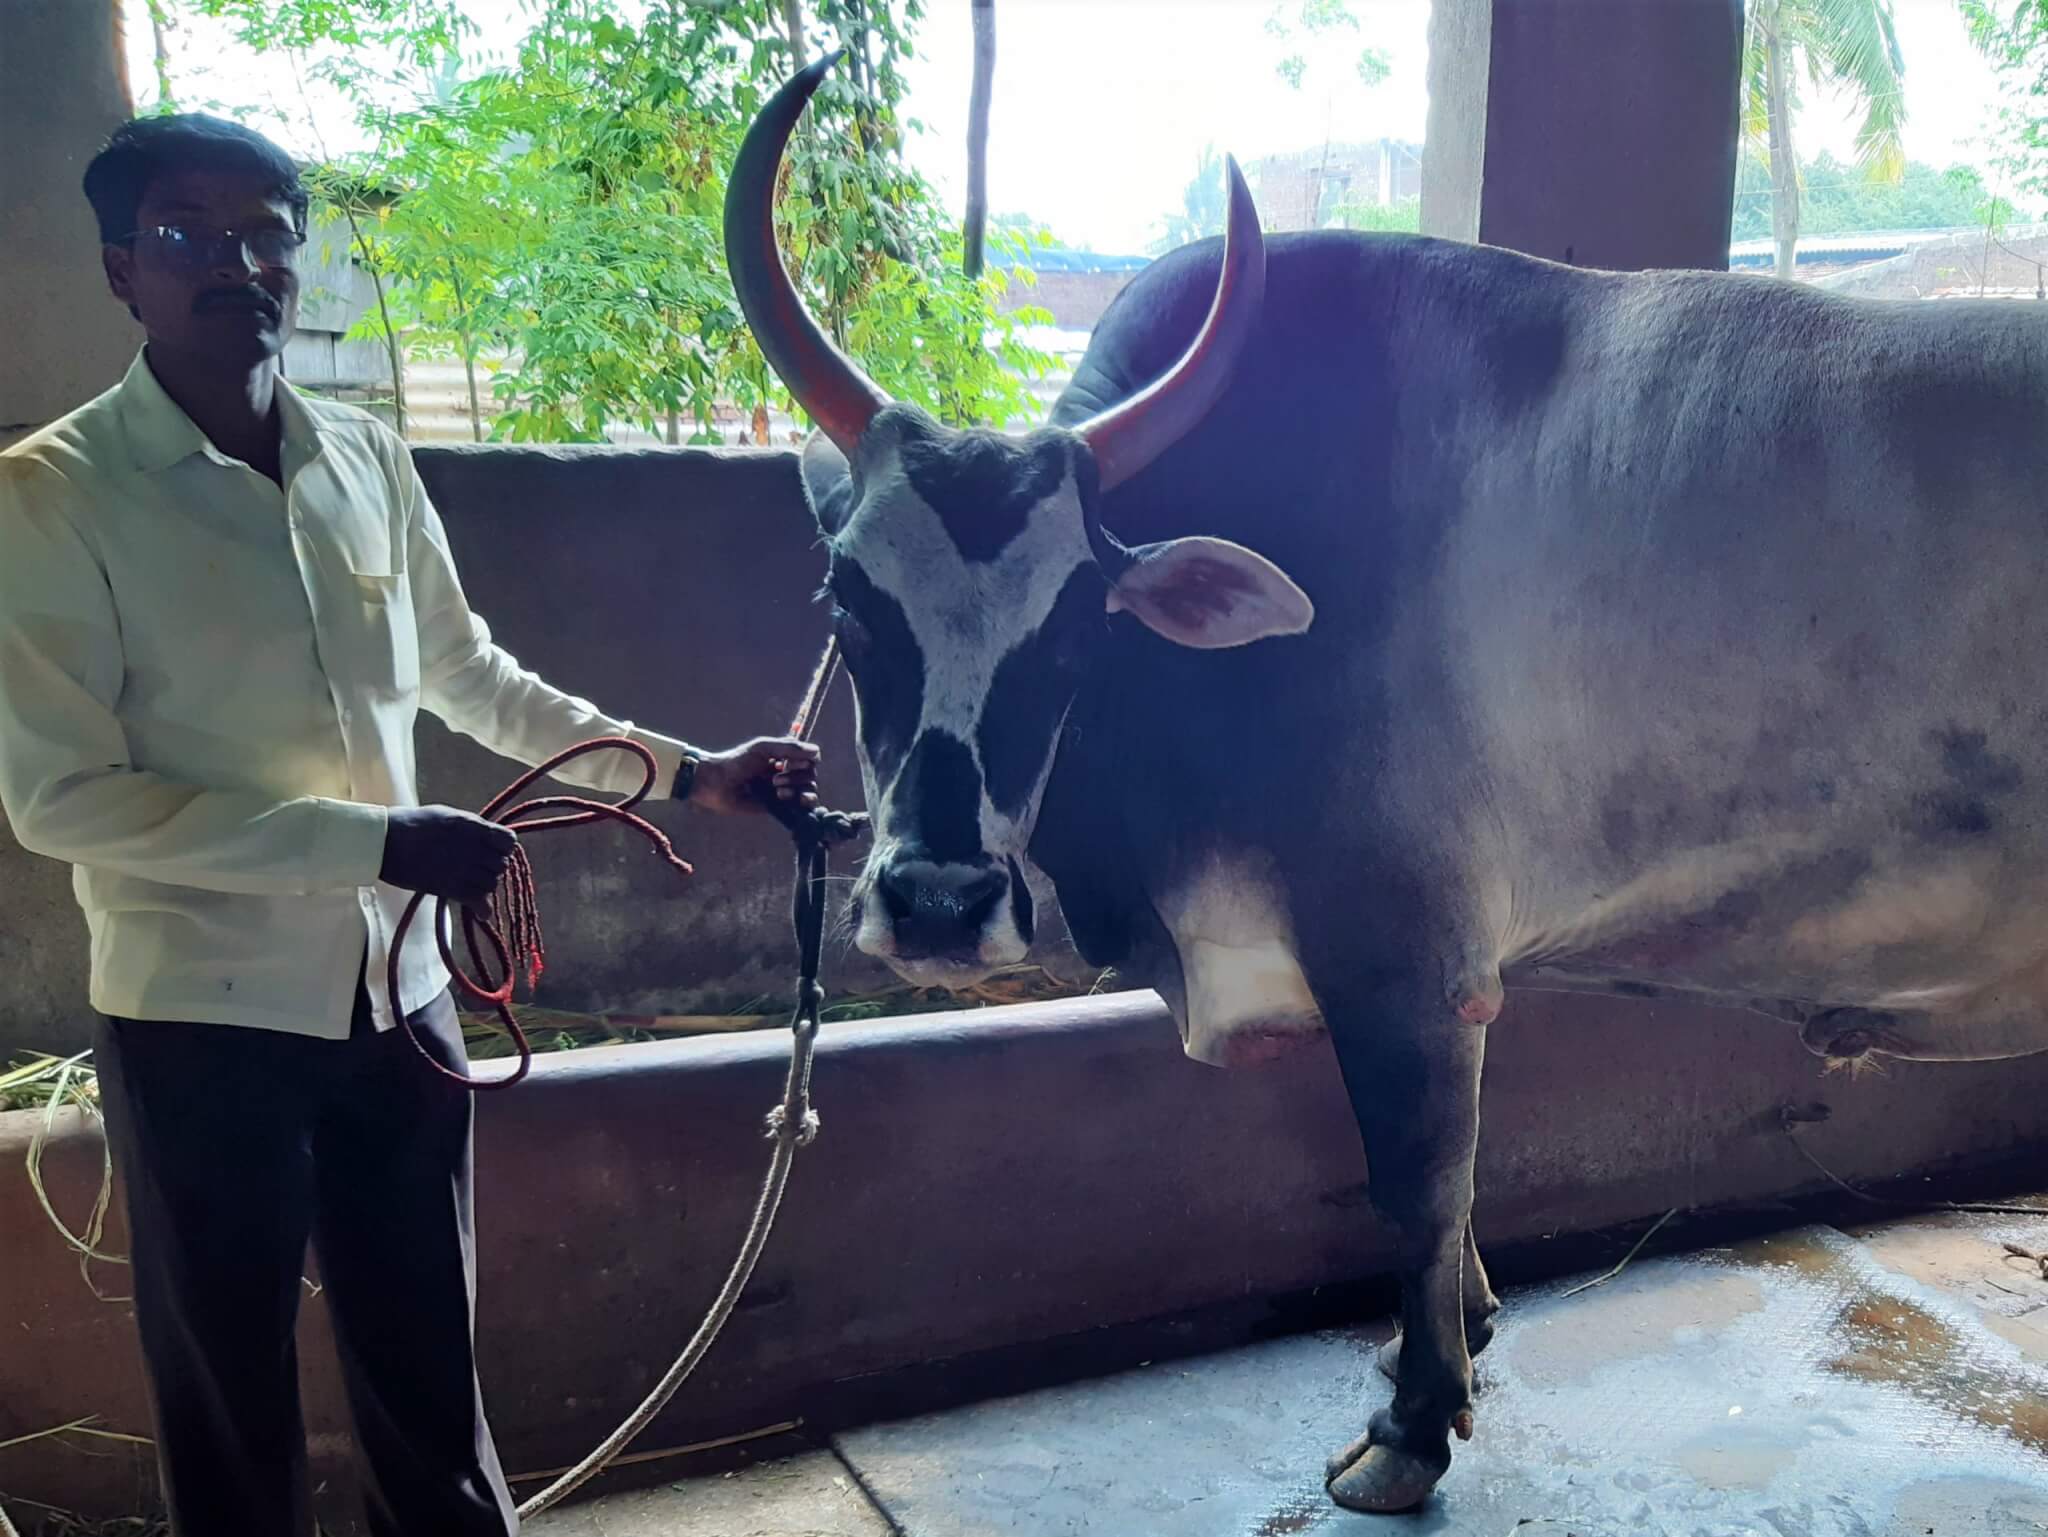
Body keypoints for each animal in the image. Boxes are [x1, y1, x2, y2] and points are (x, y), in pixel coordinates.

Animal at [729, 63, 2048, 1516]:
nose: (939, 902)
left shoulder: (1400, 961)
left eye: (1075, 625)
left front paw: (1412, 1425)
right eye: (845, 601)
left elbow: (1414, 1187)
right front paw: (1456, 1332)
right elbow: (1455, 1190)